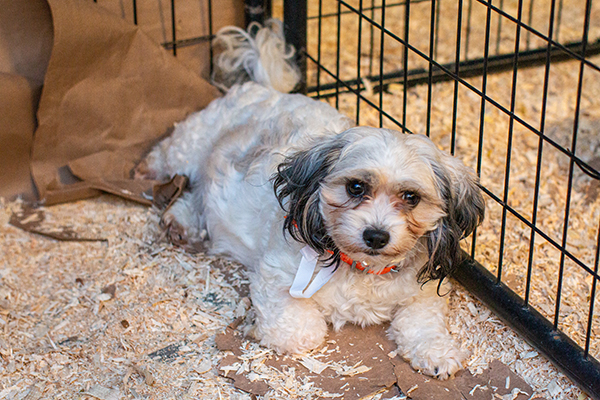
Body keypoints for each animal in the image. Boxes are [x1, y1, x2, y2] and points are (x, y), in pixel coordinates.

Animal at [136, 20, 482, 380]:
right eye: (355, 187)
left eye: (411, 197)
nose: (376, 235)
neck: (361, 268)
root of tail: (266, 89)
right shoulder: (276, 277)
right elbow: (304, 333)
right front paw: (255, 327)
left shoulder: (421, 293)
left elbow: (422, 323)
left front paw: (437, 353)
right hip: (189, 146)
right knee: (175, 166)